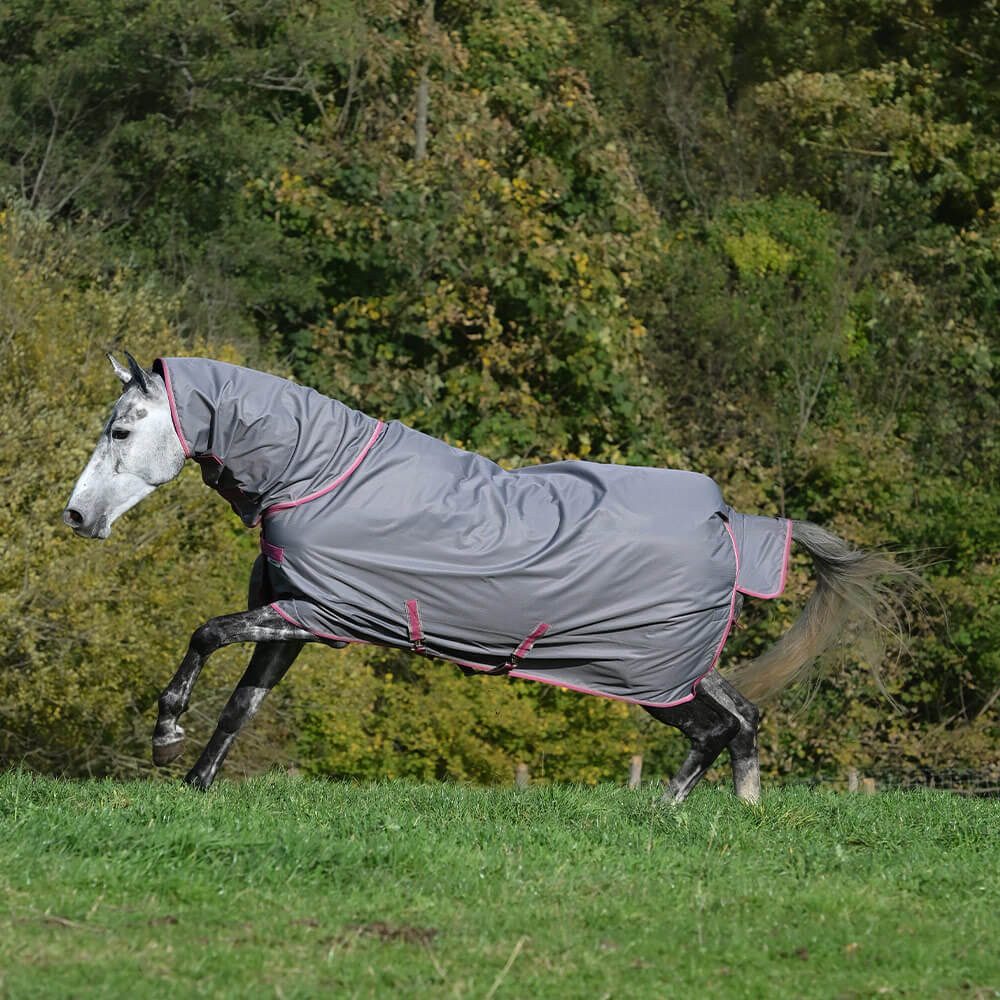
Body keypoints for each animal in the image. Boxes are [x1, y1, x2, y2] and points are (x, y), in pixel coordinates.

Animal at [63, 353, 907, 800]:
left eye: (122, 429)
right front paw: (197, 783)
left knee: (711, 731)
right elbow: (243, 705)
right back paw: (739, 812)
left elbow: (205, 635)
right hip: (679, 665)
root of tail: (731, 522)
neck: (320, 475)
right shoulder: (297, 622)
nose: (76, 516)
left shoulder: (317, 614)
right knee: (744, 719)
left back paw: (664, 813)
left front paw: (166, 737)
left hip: (648, 678)